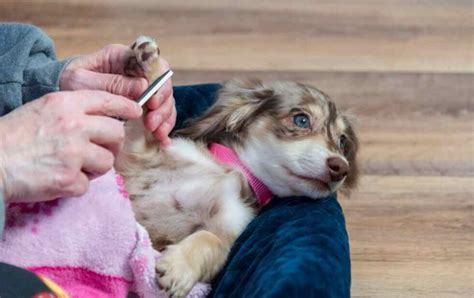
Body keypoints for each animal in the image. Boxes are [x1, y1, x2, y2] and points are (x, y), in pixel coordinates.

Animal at [115, 36, 360, 296]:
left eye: (342, 141)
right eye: (301, 120)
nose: (341, 168)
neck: (231, 171)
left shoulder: (228, 229)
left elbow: (207, 240)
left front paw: (179, 266)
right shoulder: (135, 148)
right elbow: (146, 112)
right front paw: (150, 61)